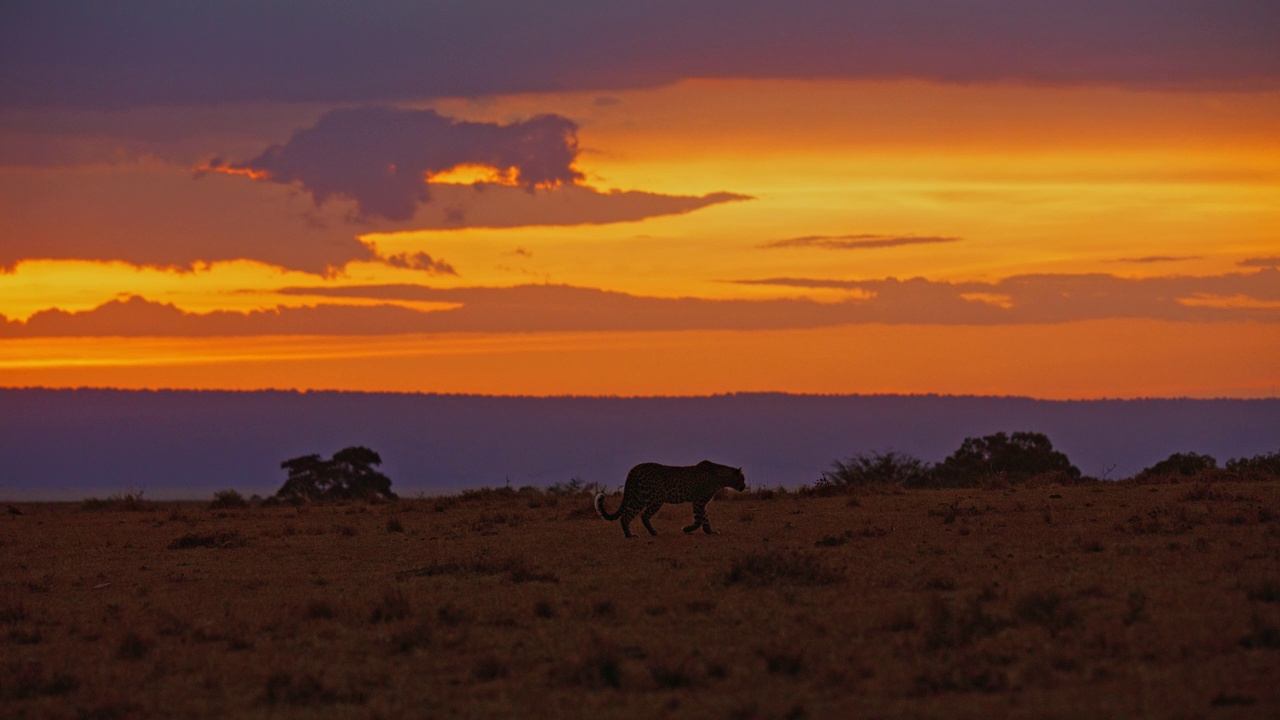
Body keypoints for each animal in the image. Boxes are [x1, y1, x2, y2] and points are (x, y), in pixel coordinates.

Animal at [593, 458, 747, 532]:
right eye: (742, 478)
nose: (745, 486)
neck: (720, 478)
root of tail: (634, 469)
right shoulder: (698, 501)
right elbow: (698, 519)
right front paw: (687, 529)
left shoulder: (702, 502)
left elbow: (705, 518)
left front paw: (710, 531)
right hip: (657, 498)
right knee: (643, 515)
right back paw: (653, 532)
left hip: (638, 497)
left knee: (625, 517)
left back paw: (630, 535)